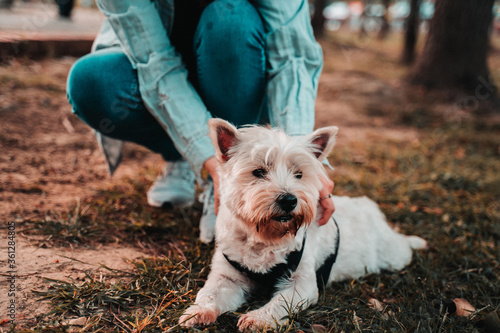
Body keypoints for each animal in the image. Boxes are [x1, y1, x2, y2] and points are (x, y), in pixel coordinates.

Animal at [180, 118, 426, 330]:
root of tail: (369, 206)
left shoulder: (302, 283)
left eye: (298, 174)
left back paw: (416, 241)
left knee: (402, 245)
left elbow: (279, 303)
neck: (266, 237)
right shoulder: (227, 276)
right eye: (258, 172)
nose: (289, 200)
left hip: (393, 254)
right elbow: (210, 293)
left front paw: (257, 318)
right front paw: (197, 312)